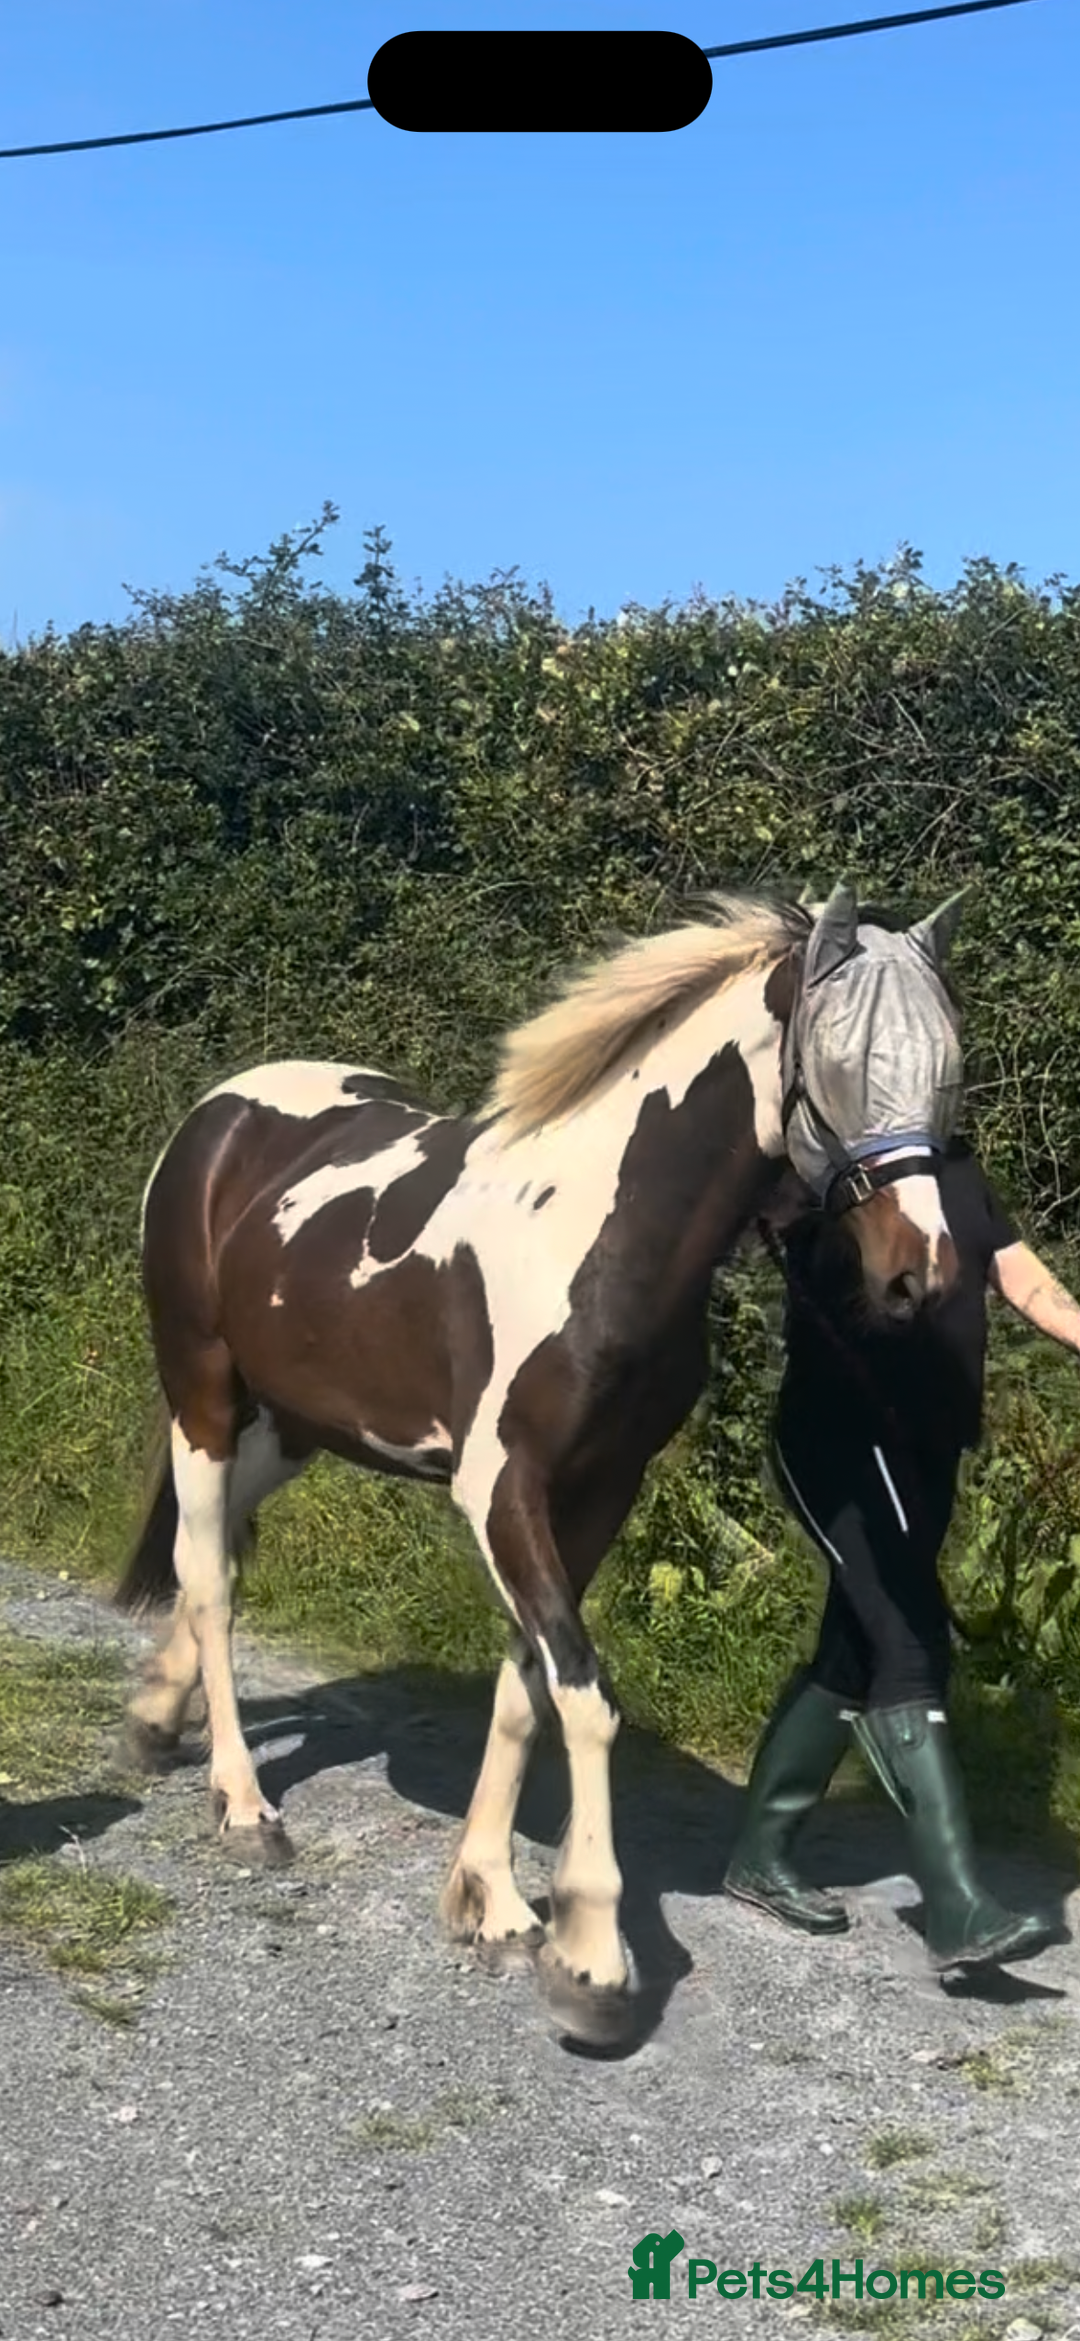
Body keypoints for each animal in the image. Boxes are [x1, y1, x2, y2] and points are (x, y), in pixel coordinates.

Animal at [115, 880, 965, 2046]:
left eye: (947, 1061)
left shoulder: (597, 1490)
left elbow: (529, 1687)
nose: (917, 1277)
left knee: (223, 1556)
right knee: (208, 1581)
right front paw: (592, 1957)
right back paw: (243, 1805)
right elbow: (586, 1695)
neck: (600, 1238)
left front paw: (495, 1902)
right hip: (203, 1392)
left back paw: (159, 1719)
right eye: (838, 1060)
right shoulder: (501, 1490)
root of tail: (225, 1113)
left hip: (294, 1426)